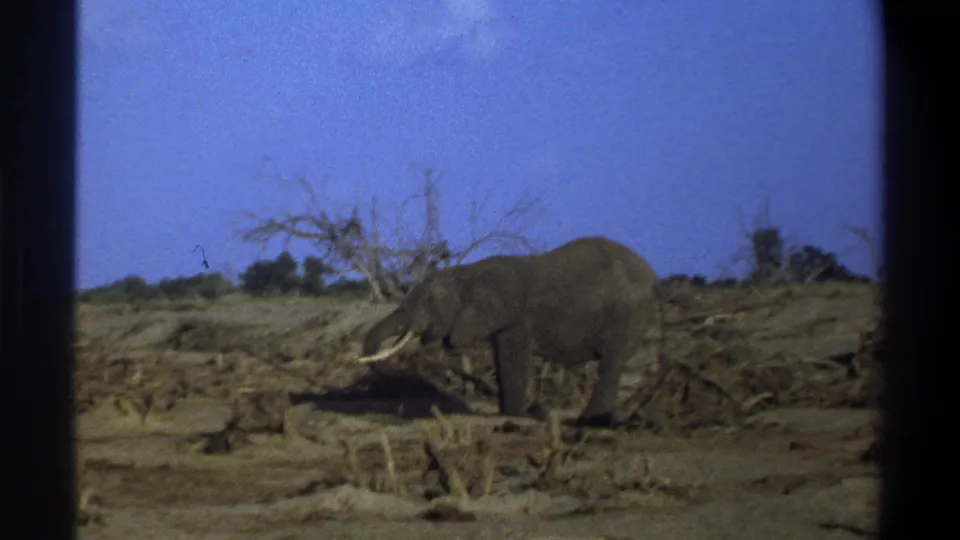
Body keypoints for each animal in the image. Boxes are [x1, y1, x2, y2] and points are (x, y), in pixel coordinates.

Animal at [357, 236, 662, 428]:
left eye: (428, 302)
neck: (467, 274)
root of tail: (651, 276)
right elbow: (502, 360)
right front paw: (509, 413)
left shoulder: (515, 317)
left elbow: (512, 359)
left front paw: (515, 415)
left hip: (626, 314)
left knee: (610, 363)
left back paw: (590, 422)